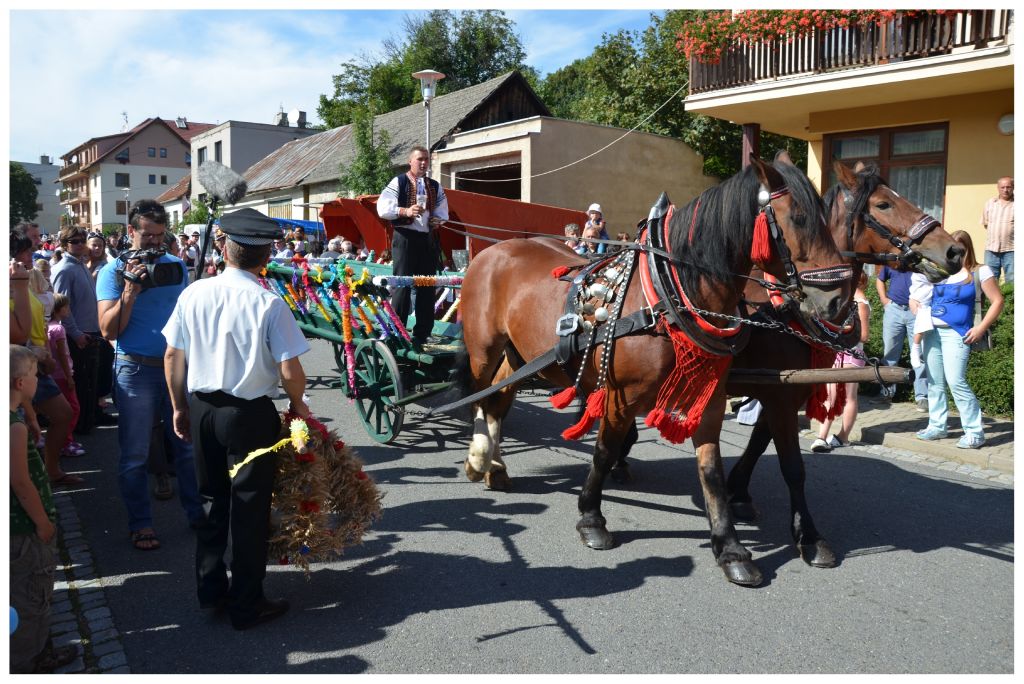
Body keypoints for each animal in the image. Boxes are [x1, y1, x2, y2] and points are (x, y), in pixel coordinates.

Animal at [457, 156, 851, 586]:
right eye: (798, 217)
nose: (838, 301)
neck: (666, 296)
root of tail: (493, 249)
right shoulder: (621, 394)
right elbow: (604, 450)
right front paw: (591, 519)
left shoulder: (713, 397)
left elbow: (711, 469)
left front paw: (730, 548)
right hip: (484, 349)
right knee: (480, 398)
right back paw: (478, 459)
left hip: (518, 354)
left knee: (498, 399)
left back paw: (495, 467)